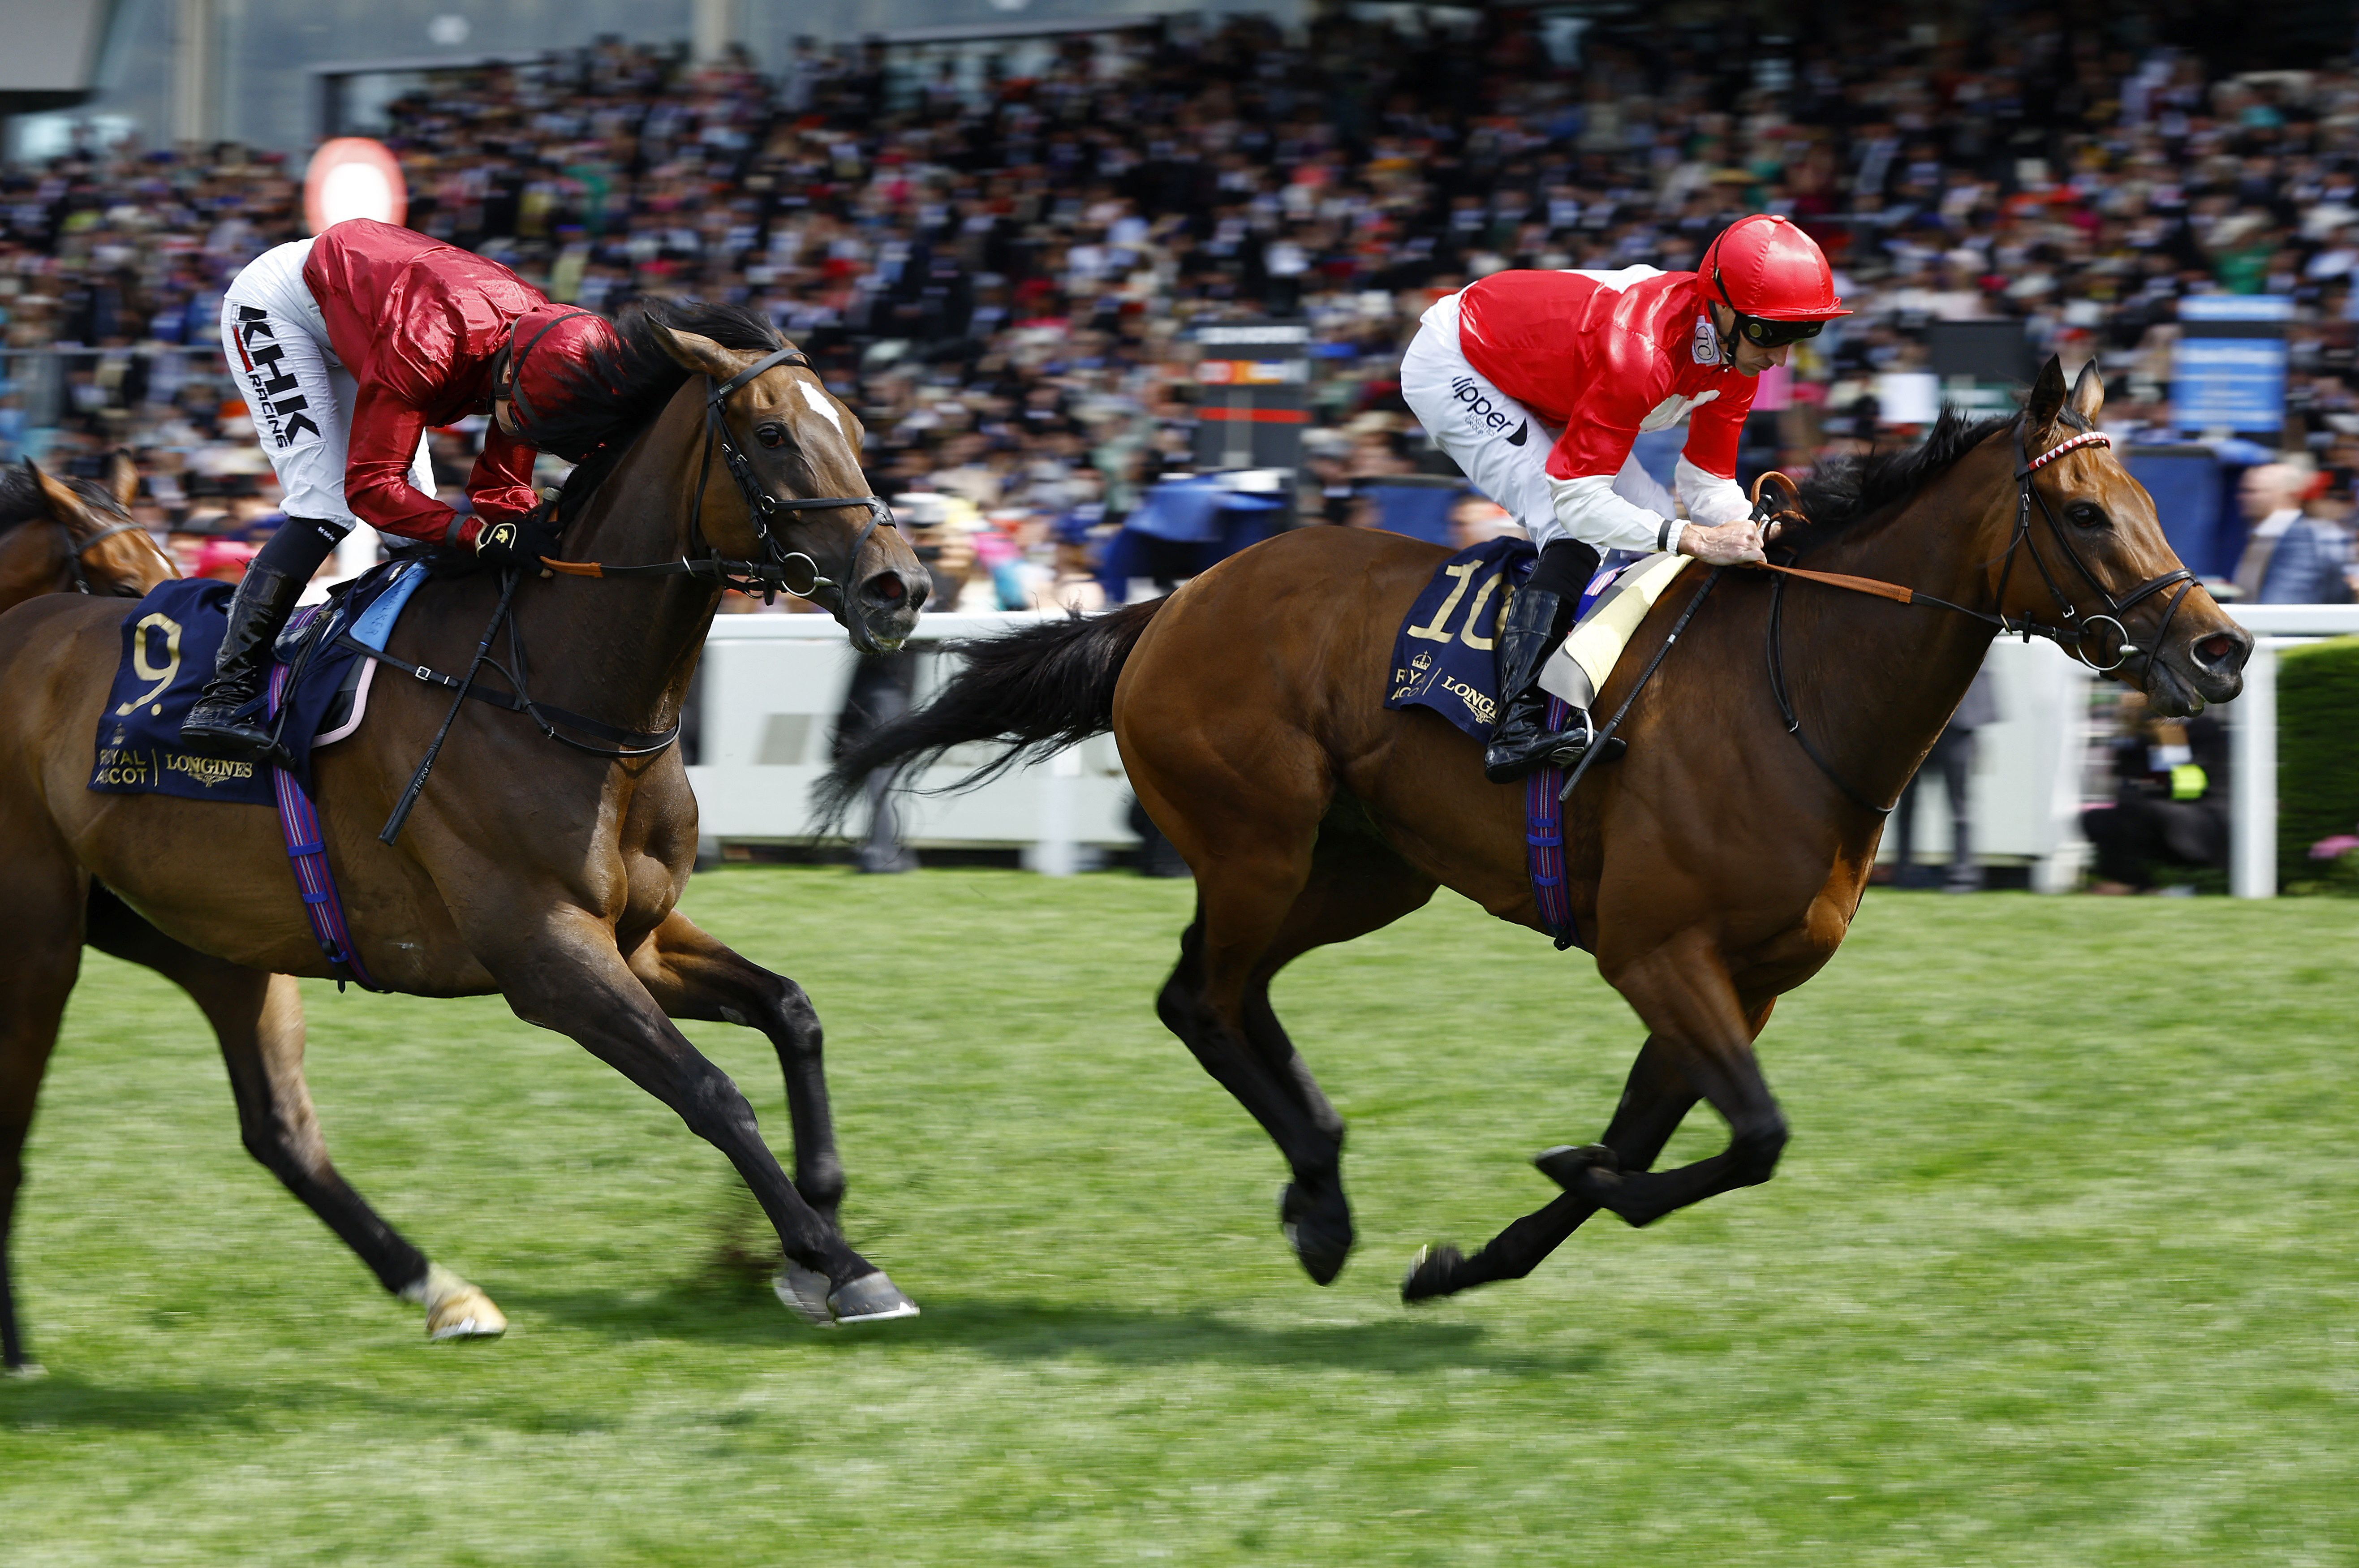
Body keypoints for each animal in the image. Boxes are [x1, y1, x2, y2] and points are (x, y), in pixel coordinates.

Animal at [826, 361, 2246, 1301]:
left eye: (2144, 495)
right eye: (2084, 513)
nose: (2219, 650)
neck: (1797, 690)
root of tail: (1171, 600)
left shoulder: (1742, 981)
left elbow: (1674, 1141)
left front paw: (1474, 1257)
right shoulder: (1657, 952)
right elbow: (1748, 1139)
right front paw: (1566, 1178)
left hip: (1364, 870)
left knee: (1225, 993)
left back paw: (1319, 1183)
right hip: (1257, 840)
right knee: (1205, 999)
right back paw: (1323, 1199)